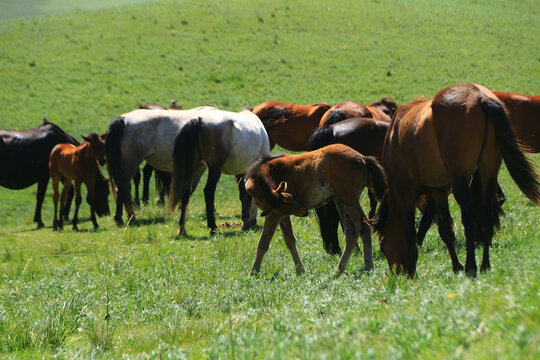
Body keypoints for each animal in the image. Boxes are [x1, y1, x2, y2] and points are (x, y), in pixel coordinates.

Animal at [105, 105, 270, 233]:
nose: (253, 222)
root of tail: (122, 119)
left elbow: (242, 194)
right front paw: (245, 220)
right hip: (133, 163)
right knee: (123, 187)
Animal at [245, 145, 388, 274]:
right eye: (288, 199)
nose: (304, 211)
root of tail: (363, 158)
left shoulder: (274, 215)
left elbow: (263, 242)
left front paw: (254, 272)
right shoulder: (282, 215)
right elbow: (289, 240)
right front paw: (300, 270)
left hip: (350, 201)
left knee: (364, 228)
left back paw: (368, 268)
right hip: (340, 201)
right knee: (351, 233)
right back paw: (339, 270)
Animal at [372, 83, 540, 278]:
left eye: (383, 246)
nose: (398, 272)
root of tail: (479, 95)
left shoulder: (404, 191)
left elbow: (410, 230)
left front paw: (413, 268)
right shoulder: (438, 190)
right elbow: (445, 229)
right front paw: (456, 266)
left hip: (460, 179)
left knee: (467, 213)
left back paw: (471, 266)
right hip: (488, 171)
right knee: (486, 213)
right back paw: (485, 264)